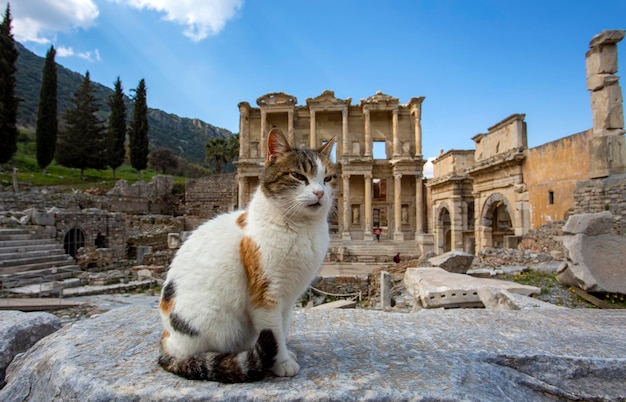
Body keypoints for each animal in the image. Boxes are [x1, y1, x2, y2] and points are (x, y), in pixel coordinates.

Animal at [158, 129, 338, 384]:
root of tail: (167, 341)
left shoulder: (289, 297)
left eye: (328, 179)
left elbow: (283, 327)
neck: (302, 228)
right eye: (298, 176)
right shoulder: (265, 295)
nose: (320, 193)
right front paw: (282, 363)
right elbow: (274, 331)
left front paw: (283, 354)